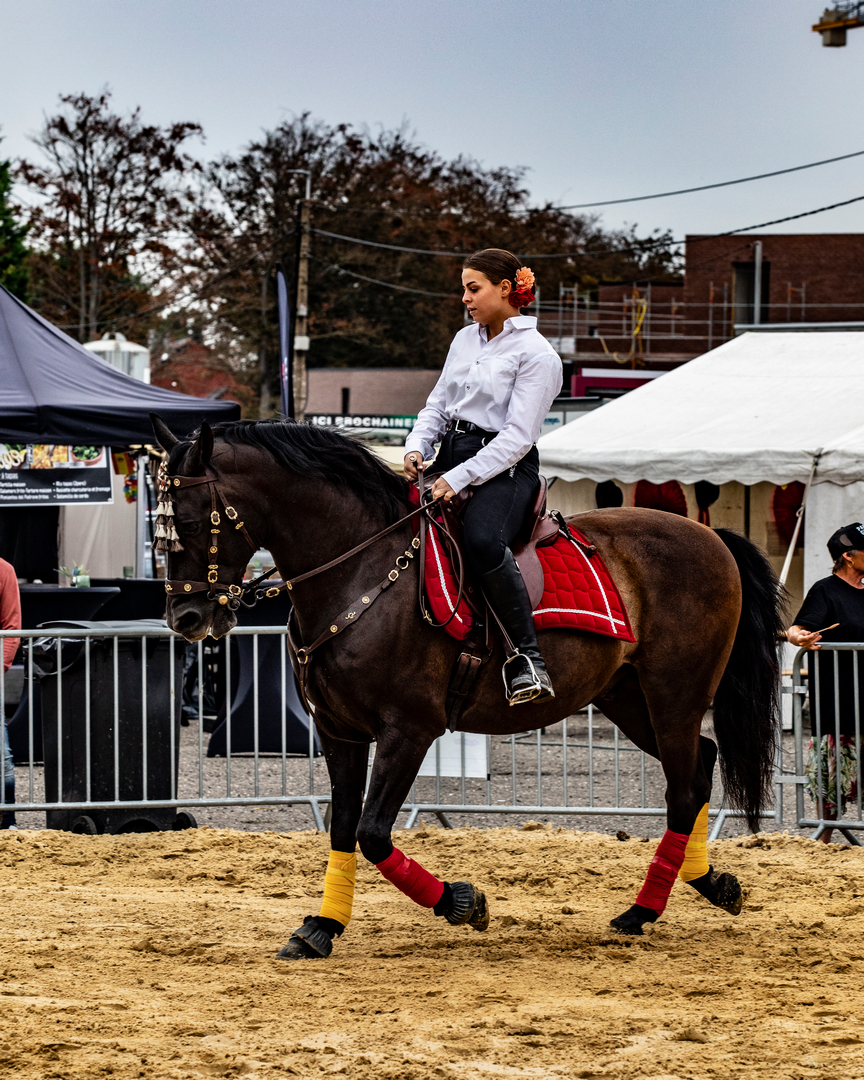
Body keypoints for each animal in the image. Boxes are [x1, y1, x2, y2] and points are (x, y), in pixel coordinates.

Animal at [151, 415, 783, 957]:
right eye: (159, 530)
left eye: (189, 522)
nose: (186, 619)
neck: (358, 571)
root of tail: (711, 537)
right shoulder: (339, 732)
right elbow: (343, 827)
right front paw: (322, 927)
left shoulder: (408, 730)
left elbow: (373, 832)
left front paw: (461, 902)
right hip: (627, 698)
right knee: (699, 767)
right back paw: (702, 887)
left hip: (675, 695)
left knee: (683, 787)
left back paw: (644, 908)